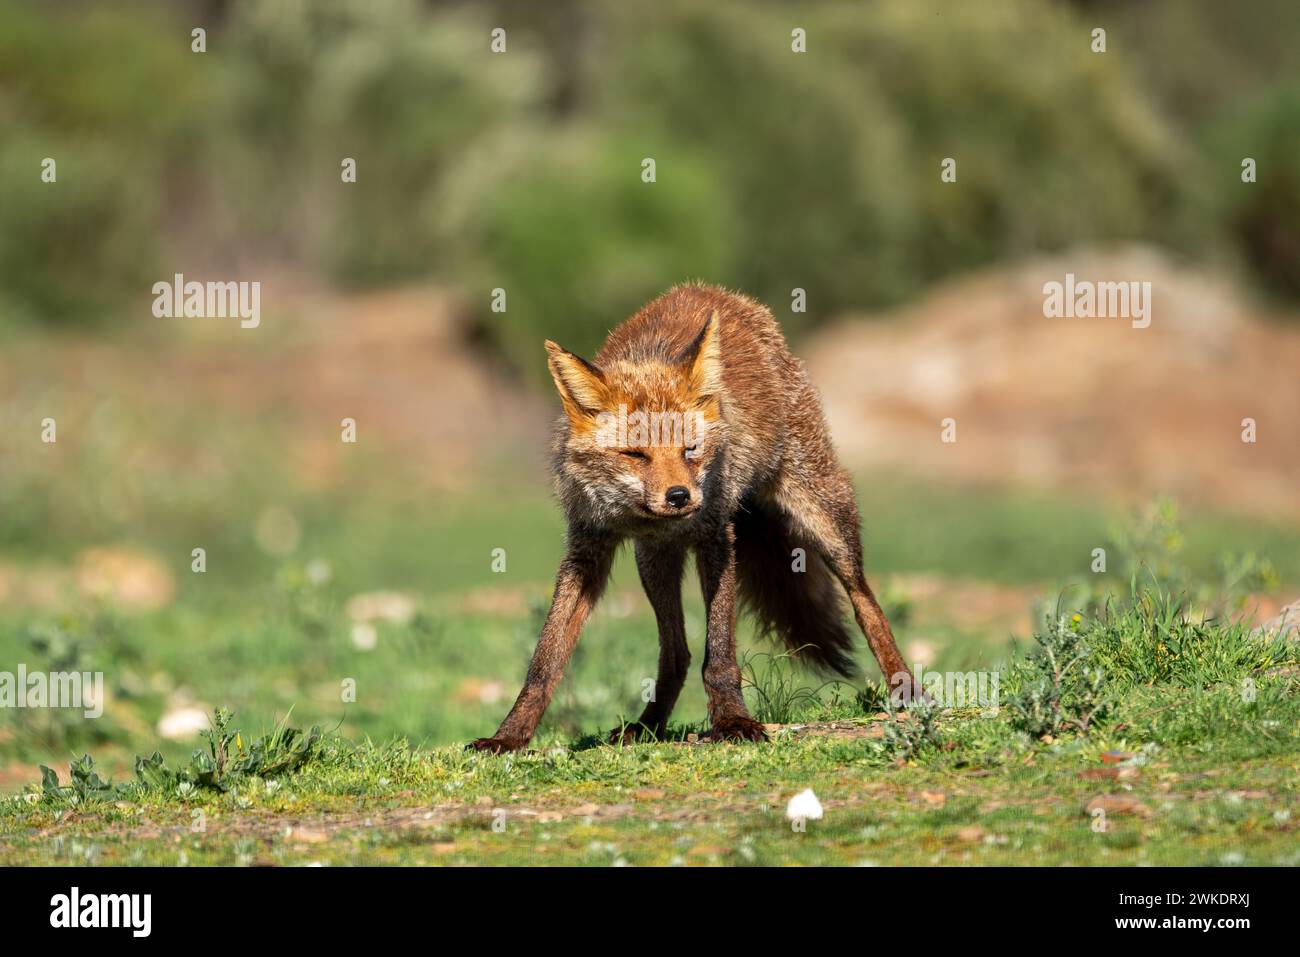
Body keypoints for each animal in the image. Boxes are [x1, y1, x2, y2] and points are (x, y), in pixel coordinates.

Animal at [473, 280, 920, 748]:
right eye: (635, 454)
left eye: (690, 449)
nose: (679, 496)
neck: (641, 517)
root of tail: (714, 292)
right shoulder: (587, 548)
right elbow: (545, 661)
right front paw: (509, 736)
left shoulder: (716, 538)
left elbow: (720, 653)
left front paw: (733, 721)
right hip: (654, 562)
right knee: (676, 652)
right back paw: (647, 725)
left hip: (825, 517)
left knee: (865, 601)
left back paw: (905, 688)